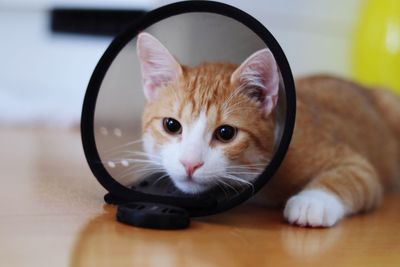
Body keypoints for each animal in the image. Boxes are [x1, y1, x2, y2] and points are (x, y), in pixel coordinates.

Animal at [136, 31, 398, 228]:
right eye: (171, 125)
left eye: (225, 133)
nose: (190, 164)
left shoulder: (353, 163)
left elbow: (353, 175)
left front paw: (312, 203)